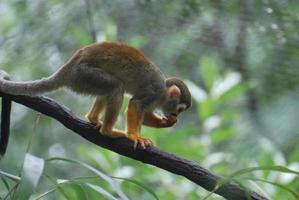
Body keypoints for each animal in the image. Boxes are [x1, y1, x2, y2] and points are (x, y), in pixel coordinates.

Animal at [0, 41, 192, 151]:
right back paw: (108, 131)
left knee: (109, 90)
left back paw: (93, 118)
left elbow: (144, 113)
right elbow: (135, 104)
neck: (163, 94)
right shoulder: (153, 91)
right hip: (83, 75)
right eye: (179, 109)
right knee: (116, 87)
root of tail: (68, 67)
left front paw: (165, 123)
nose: (175, 115)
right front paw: (134, 135)